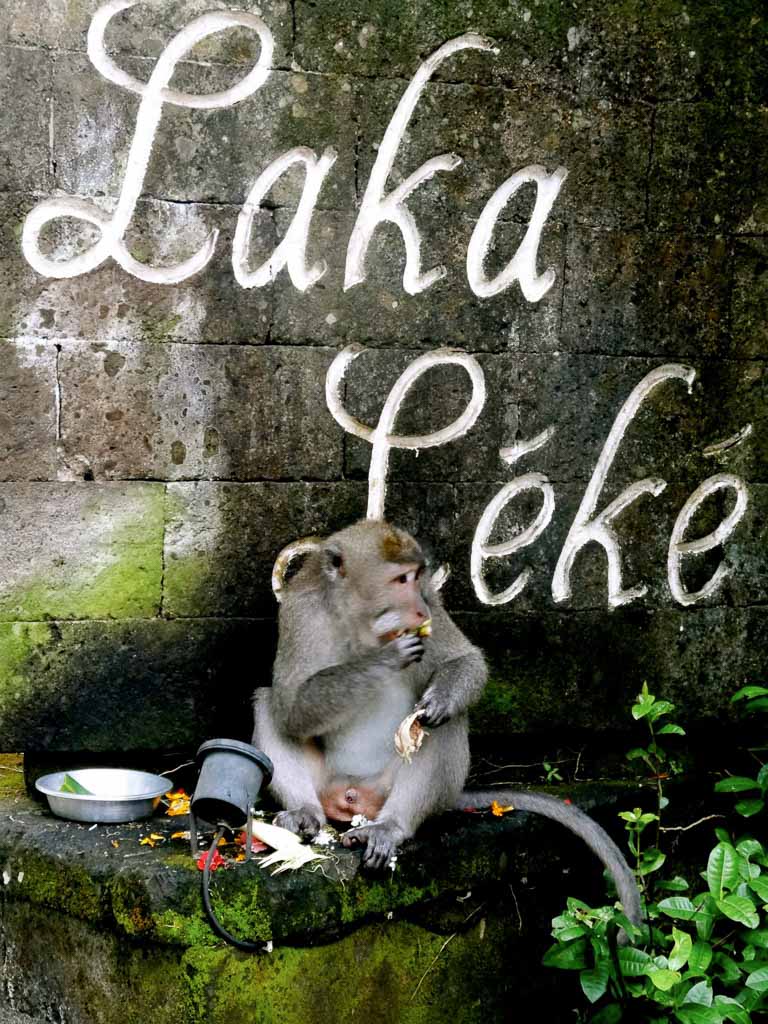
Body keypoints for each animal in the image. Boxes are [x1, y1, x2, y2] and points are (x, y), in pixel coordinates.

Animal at [252, 519, 641, 929]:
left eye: (416, 576)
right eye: (399, 579)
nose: (417, 607)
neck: (361, 621)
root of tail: (352, 798)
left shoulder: (431, 603)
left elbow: (465, 662)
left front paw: (437, 698)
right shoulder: (301, 611)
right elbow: (290, 707)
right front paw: (385, 657)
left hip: (391, 789)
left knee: (440, 725)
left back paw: (391, 826)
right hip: (326, 783)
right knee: (266, 703)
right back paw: (305, 813)